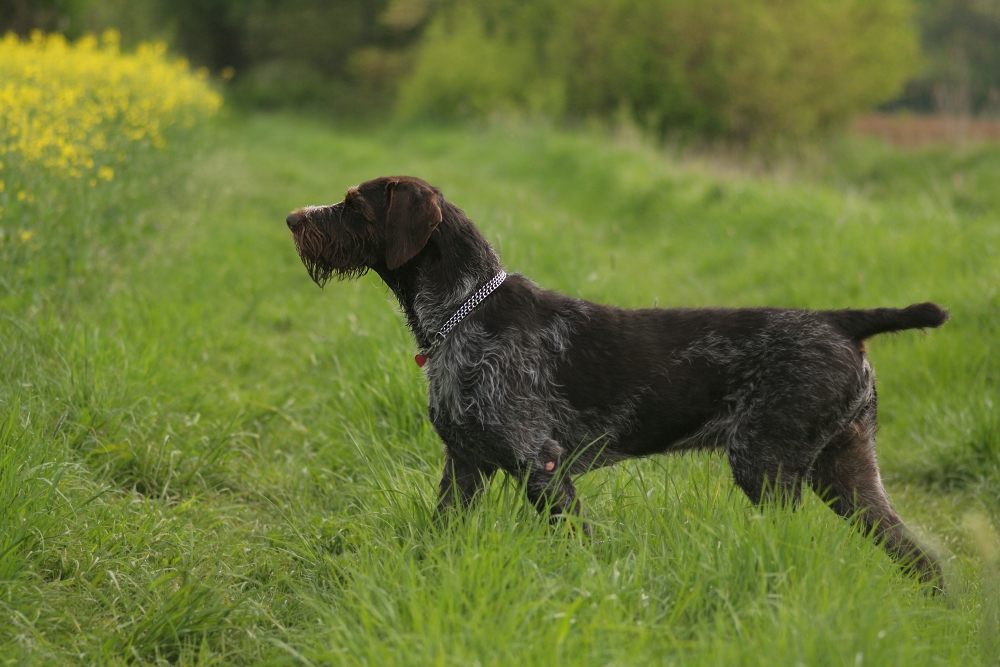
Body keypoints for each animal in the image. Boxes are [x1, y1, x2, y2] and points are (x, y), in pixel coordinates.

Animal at [288, 174, 944, 588]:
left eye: (354, 204)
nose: (292, 218)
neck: (462, 312)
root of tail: (838, 321)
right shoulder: (465, 465)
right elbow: (439, 535)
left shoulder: (541, 464)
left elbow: (577, 546)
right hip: (847, 474)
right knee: (924, 561)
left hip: (770, 467)